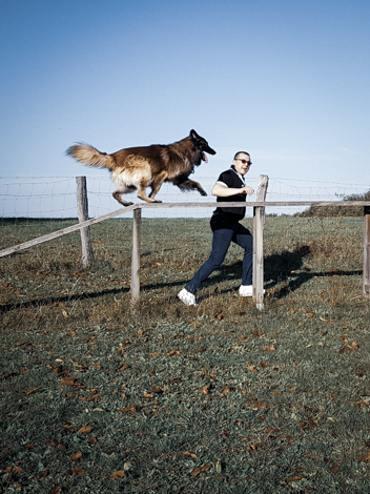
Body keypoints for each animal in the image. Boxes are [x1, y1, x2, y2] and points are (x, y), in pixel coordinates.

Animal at [68, 128, 215, 206]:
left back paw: (126, 203)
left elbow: (196, 183)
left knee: (115, 193)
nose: (215, 152)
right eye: (205, 144)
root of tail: (113, 156)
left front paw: (202, 191)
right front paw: (152, 198)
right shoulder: (162, 175)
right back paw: (150, 201)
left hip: (128, 185)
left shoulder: (179, 179)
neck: (186, 151)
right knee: (139, 193)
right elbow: (155, 190)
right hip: (144, 169)